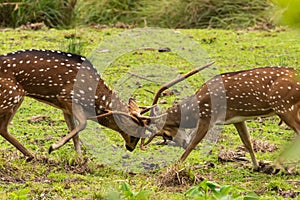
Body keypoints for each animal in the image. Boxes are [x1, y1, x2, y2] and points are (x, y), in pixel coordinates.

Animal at [0, 49, 152, 161]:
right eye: (134, 133)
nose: (131, 148)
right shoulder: (67, 96)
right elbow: (83, 123)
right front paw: (53, 147)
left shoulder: (65, 107)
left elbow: (75, 132)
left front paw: (80, 160)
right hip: (11, 95)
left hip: (16, 98)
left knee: (3, 128)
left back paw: (31, 155)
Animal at [146, 66, 300, 170]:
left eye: (165, 133)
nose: (182, 142)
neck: (195, 110)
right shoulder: (238, 119)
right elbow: (247, 142)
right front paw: (256, 166)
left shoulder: (208, 117)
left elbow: (193, 144)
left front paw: (175, 166)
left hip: (284, 106)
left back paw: (276, 165)